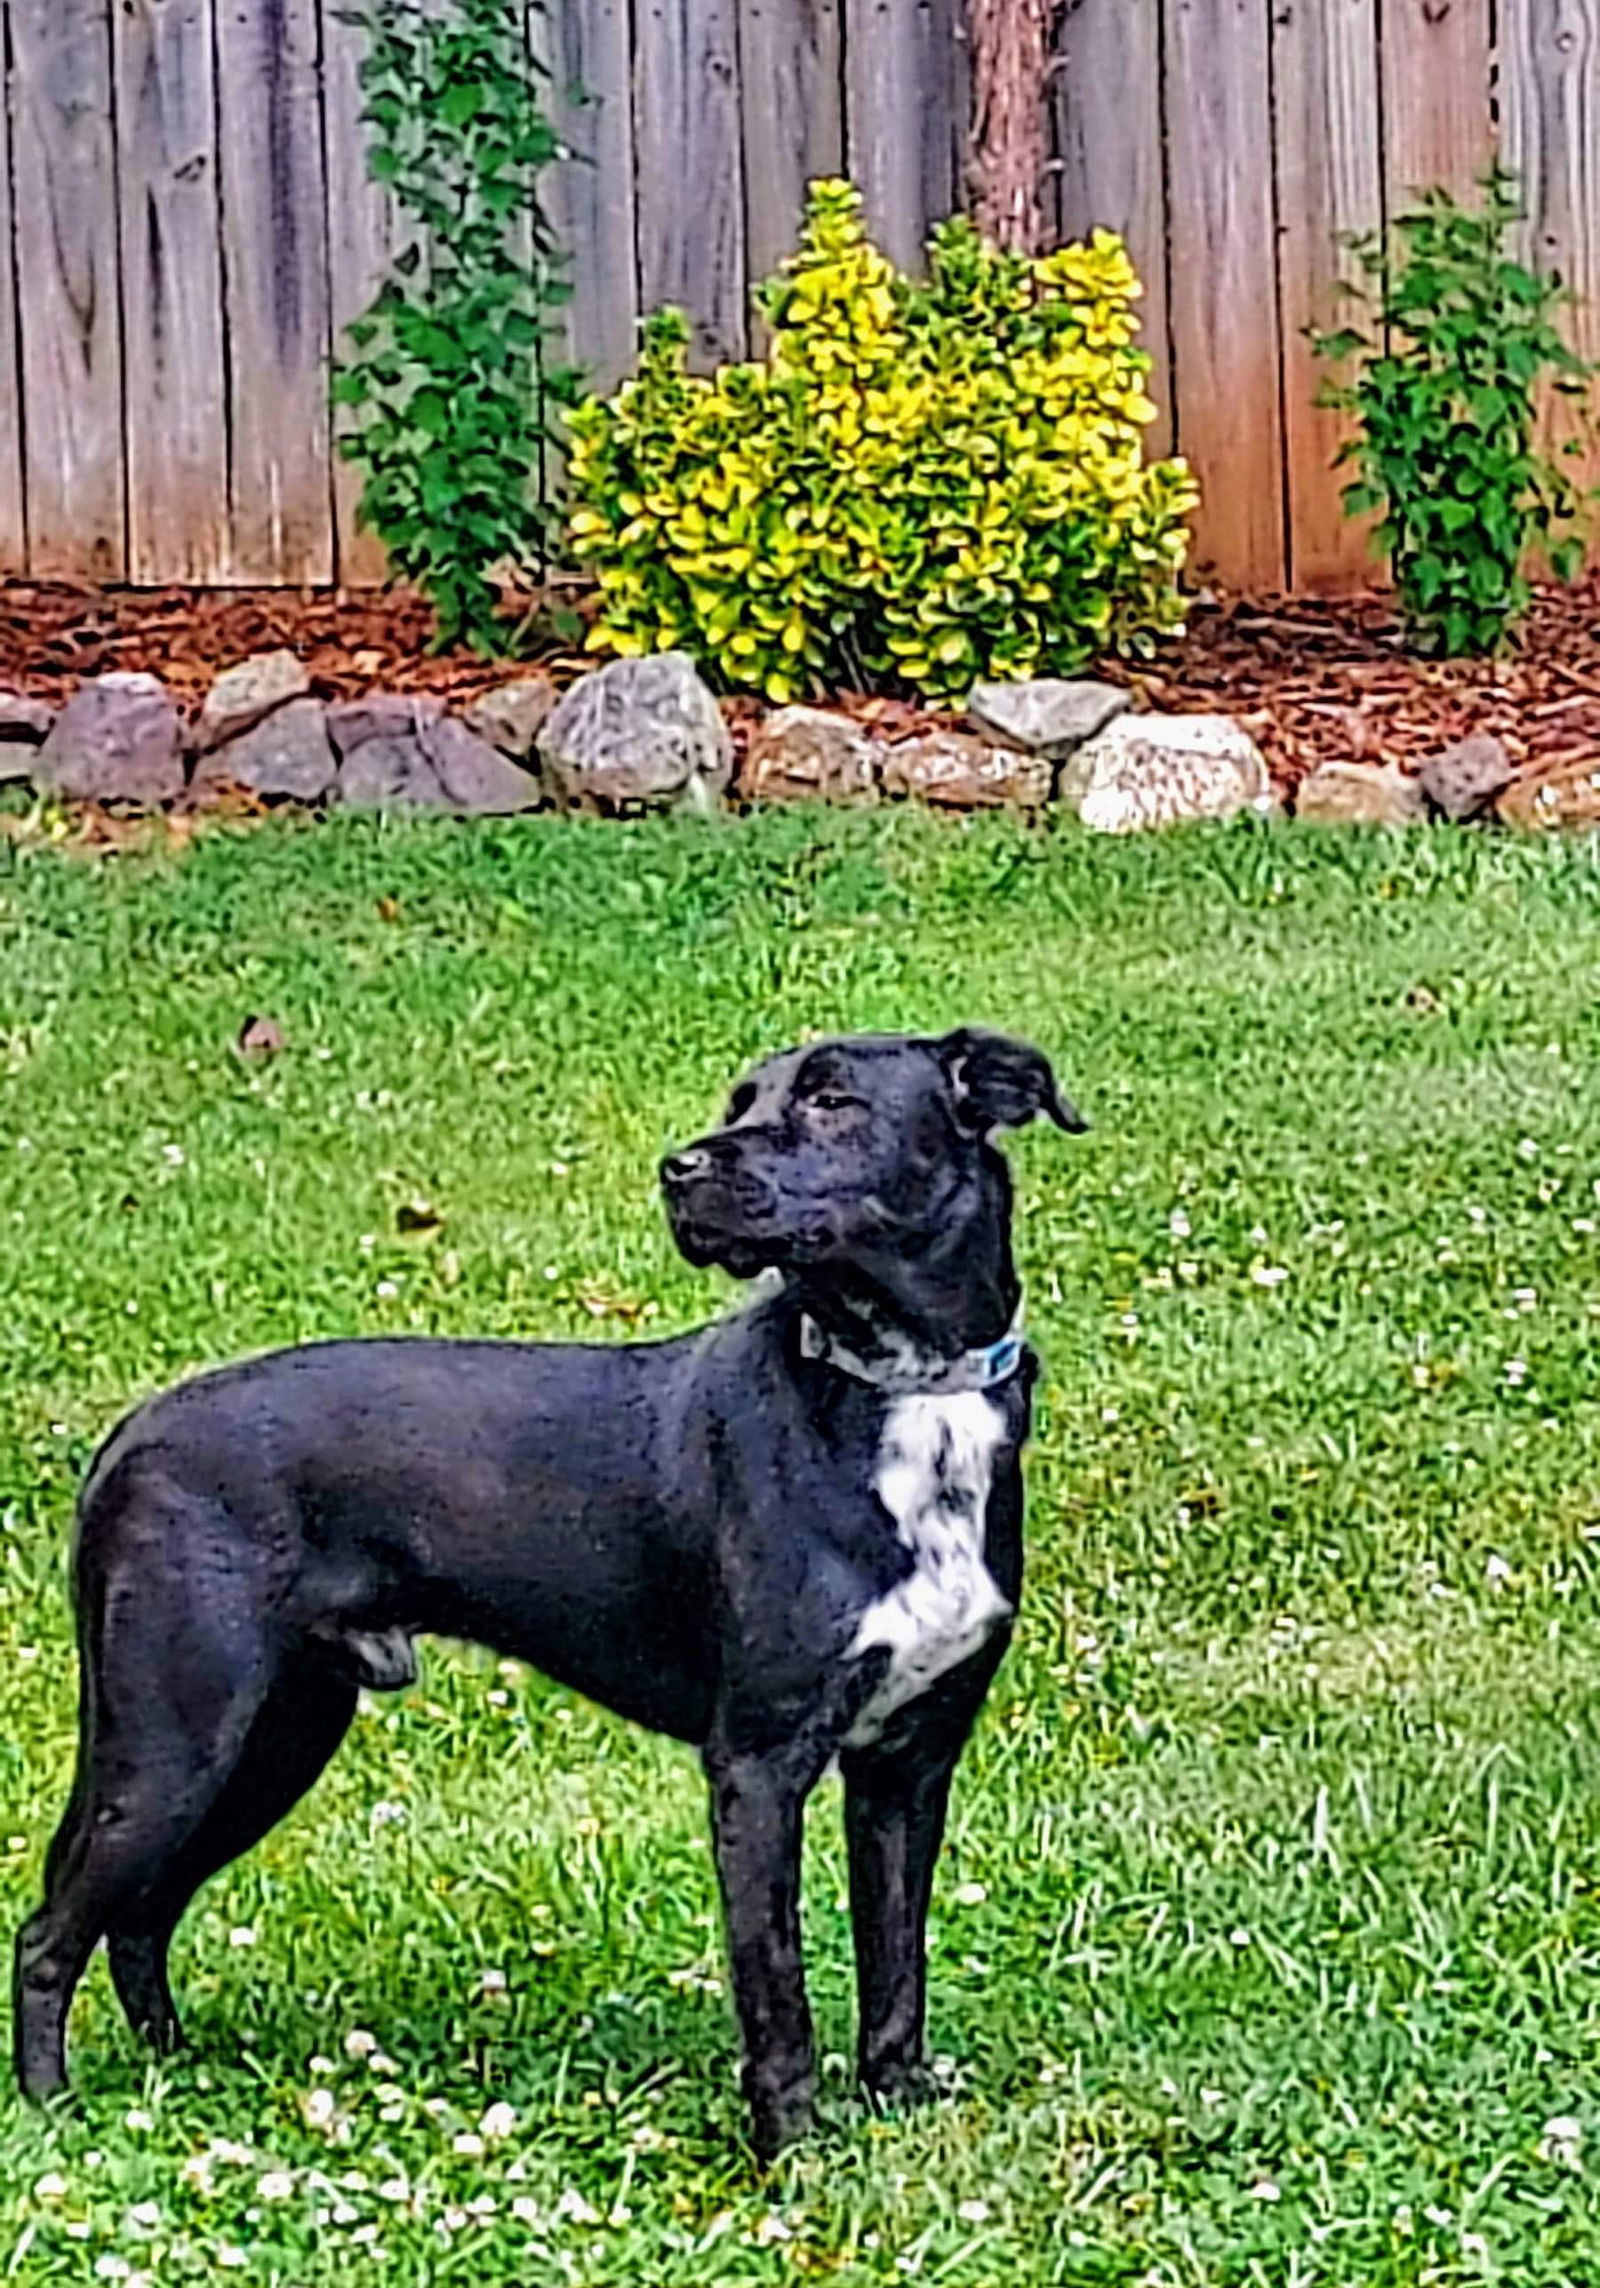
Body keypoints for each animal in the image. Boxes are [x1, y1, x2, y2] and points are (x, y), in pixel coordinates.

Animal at [12, 1029, 1084, 2150]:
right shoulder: (757, 1765)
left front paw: (900, 2100)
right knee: (50, 1930)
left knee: (140, 1912)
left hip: (274, 1734)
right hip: (176, 1732)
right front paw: (791, 2146)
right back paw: (54, 2110)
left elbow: (895, 1958)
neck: (905, 1390)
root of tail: (126, 1438)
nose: (678, 1171)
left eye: (833, 1100)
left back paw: (169, 2070)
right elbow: (776, 1985)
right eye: (741, 1100)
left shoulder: (908, 1764)